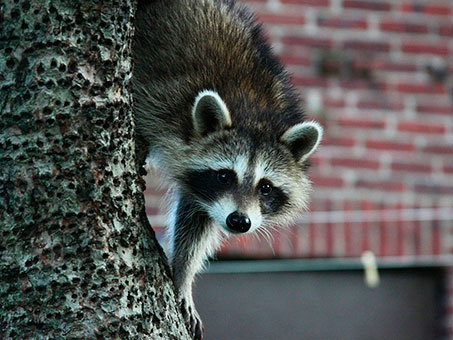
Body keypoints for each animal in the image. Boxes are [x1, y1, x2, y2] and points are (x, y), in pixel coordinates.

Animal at [132, 0, 324, 338]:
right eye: (224, 175)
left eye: (266, 187)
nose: (238, 221)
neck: (253, 112)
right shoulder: (160, 101)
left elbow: (196, 221)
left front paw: (182, 274)